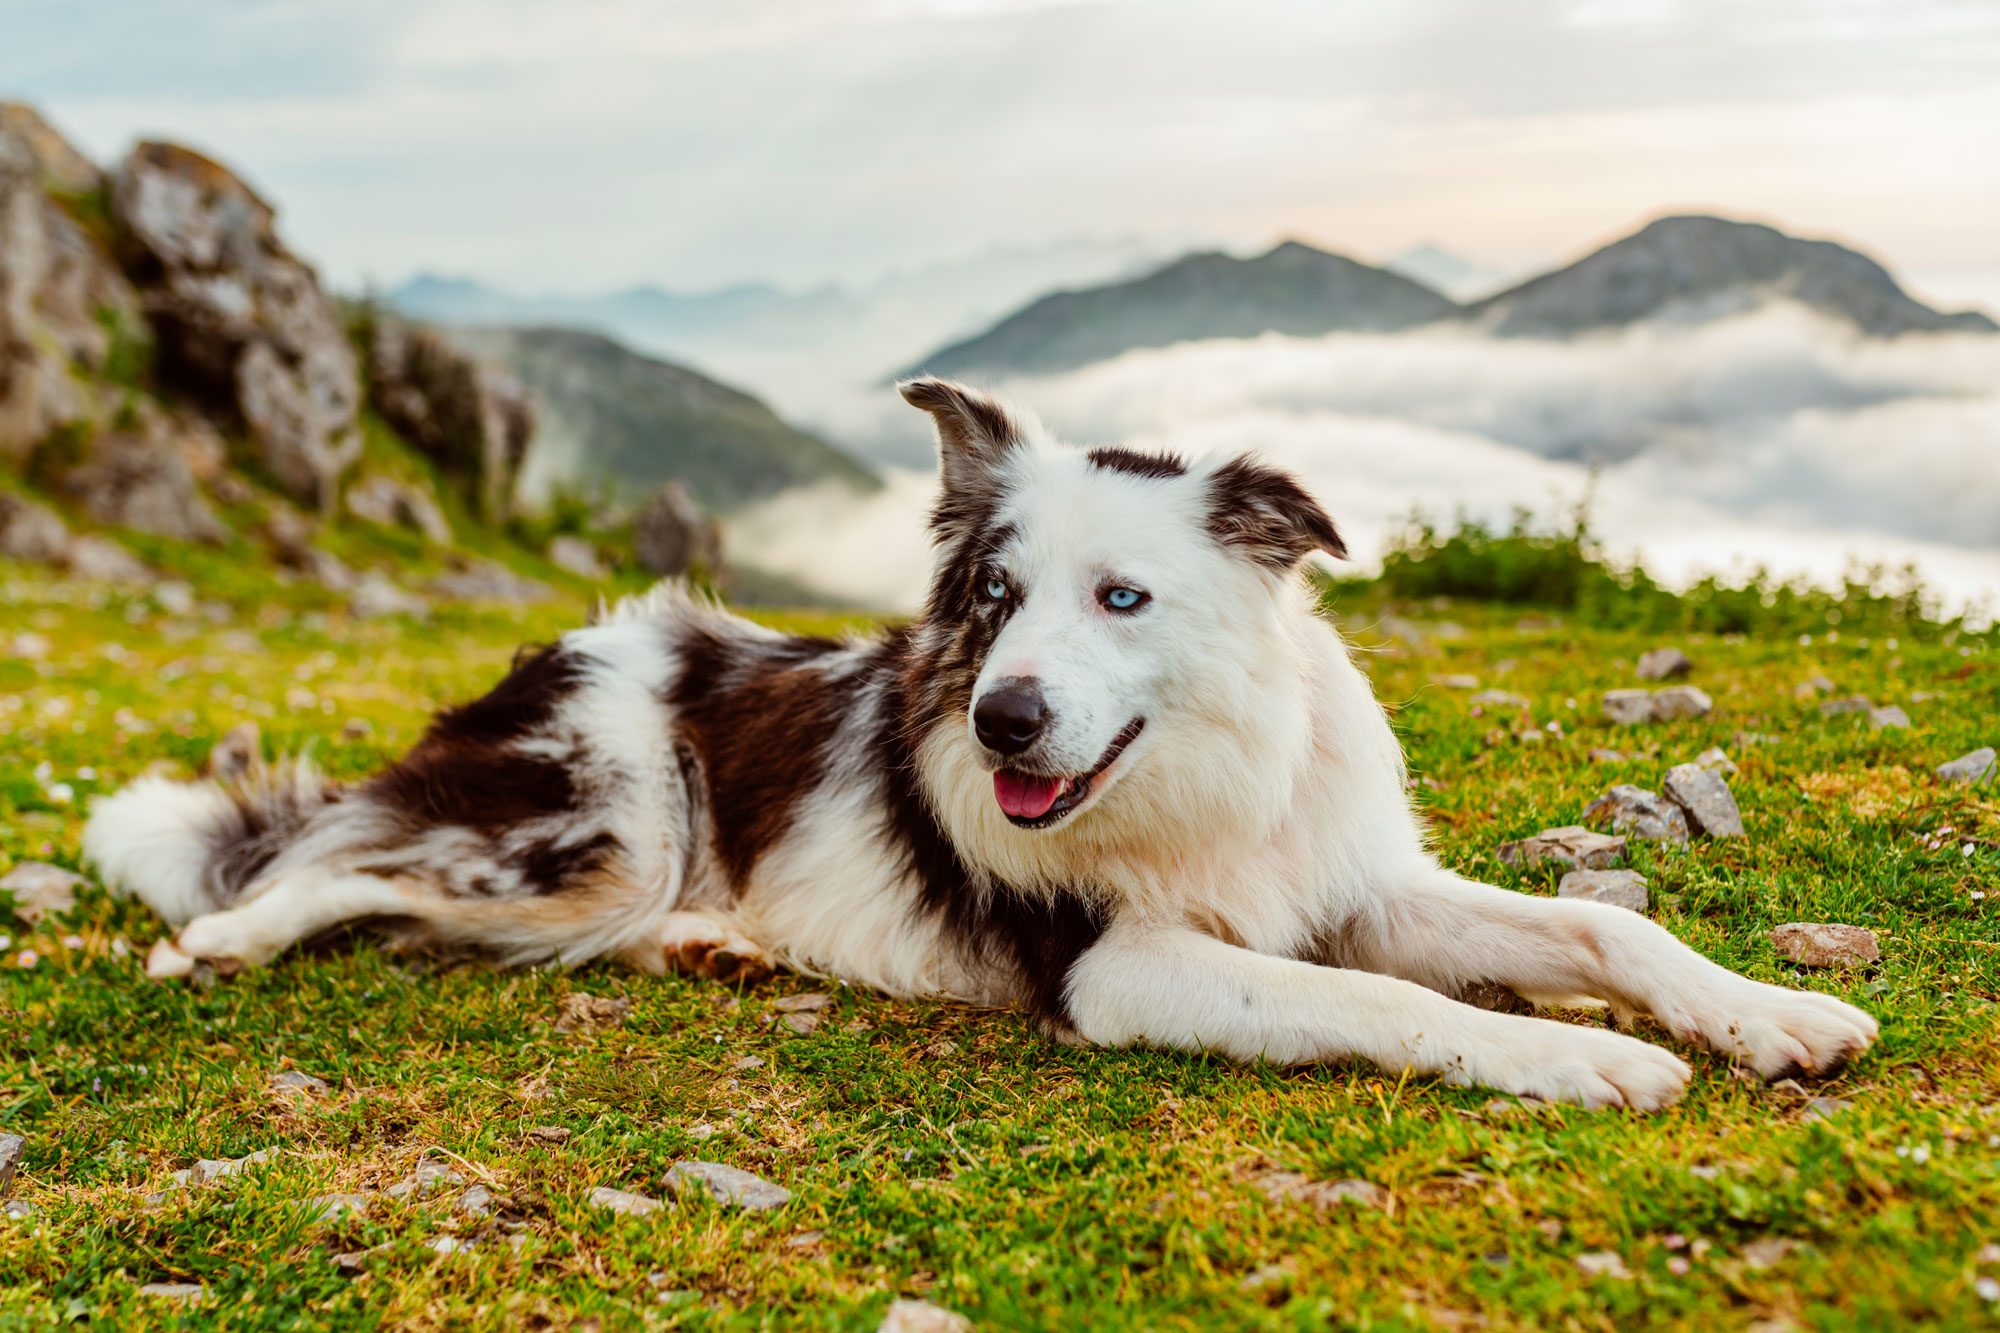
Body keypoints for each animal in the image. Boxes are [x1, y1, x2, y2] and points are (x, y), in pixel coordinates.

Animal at [86, 378, 1872, 1104]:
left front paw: (1770, 1016)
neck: (1202, 777)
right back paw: (225, 939)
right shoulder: (1121, 966)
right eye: (995, 594)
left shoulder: (1352, 881)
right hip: (593, 826)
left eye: (1121, 595)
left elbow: (1594, 924)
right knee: (358, 862)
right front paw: (1581, 1058)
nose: (1005, 710)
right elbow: (1382, 1003)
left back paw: (717, 946)